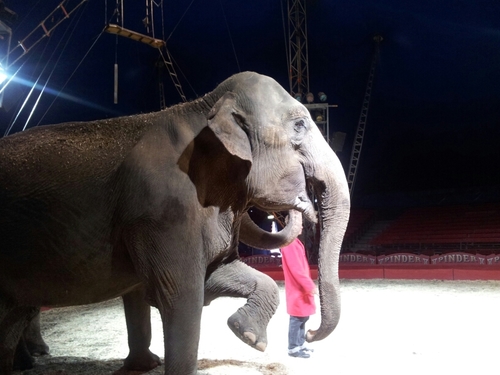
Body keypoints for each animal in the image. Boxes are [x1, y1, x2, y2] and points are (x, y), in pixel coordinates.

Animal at [0, 71, 350, 375]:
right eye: (300, 125)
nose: (310, 334)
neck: (205, 105)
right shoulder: (166, 213)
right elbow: (181, 296)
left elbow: (220, 275)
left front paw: (247, 335)